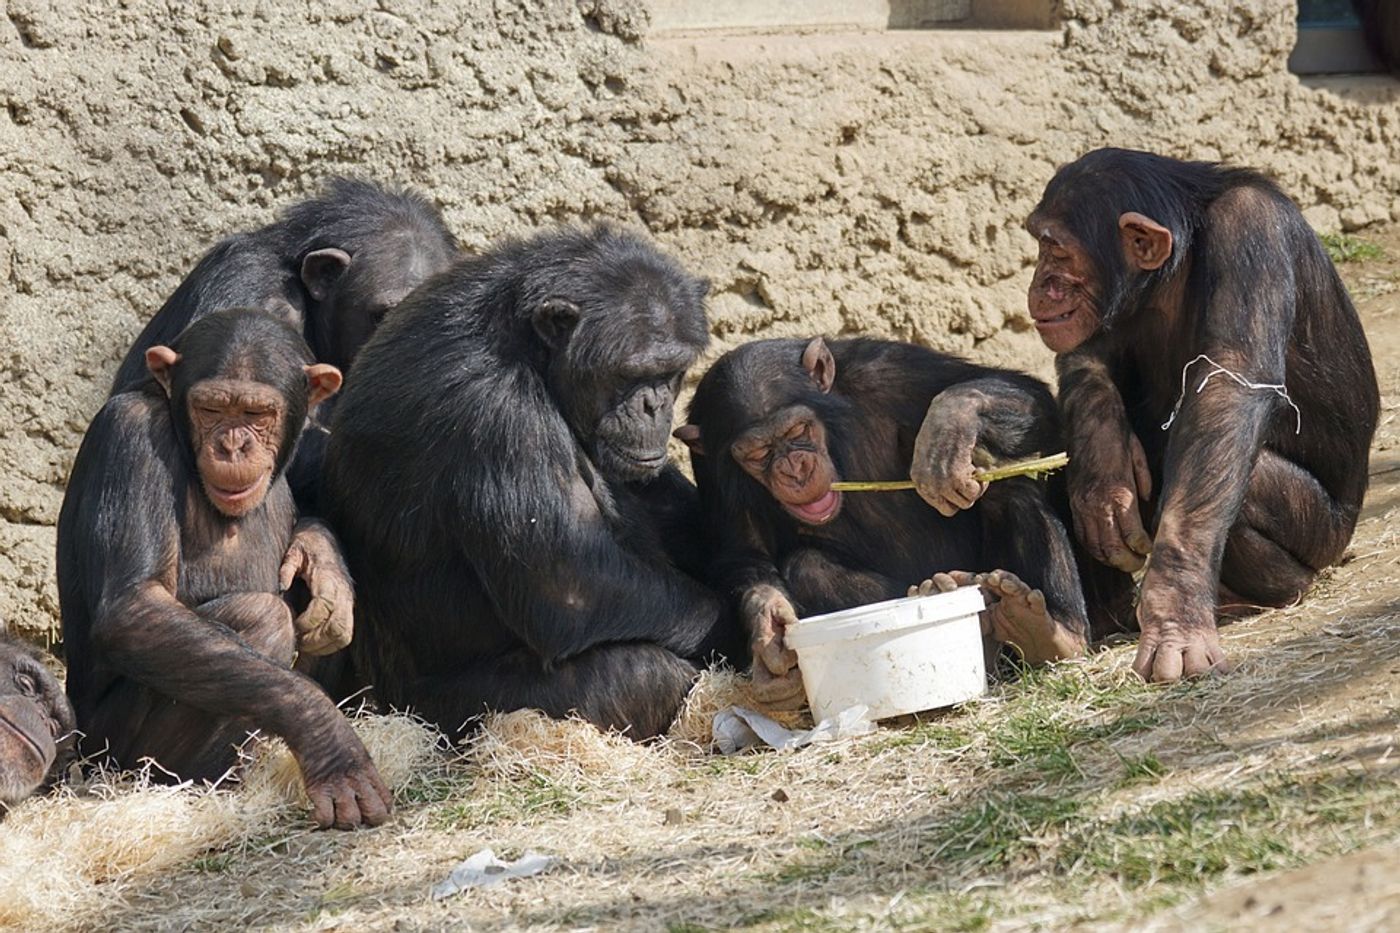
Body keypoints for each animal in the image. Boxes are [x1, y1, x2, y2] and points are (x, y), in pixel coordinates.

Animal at [57, 306, 392, 829]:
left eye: (256, 413)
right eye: (211, 409)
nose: (232, 446)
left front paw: (324, 562)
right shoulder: (130, 435)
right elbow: (135, 608)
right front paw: (328, 739)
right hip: (111, 750)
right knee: (262, 617)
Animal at [323, 225, 744, 739]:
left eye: (671, 372)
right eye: (630, 373)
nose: (655, 404)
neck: (530, 351)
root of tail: (373, 700)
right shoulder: (498, 415)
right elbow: (571, 583)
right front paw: (736, 626)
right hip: (442, 712)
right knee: (643, 674)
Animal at [677, 336, 1092, 706]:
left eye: (797, 430)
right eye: (758, 453)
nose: (793, 468)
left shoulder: (888, 370)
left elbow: (1029, 395)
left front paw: (950, 425)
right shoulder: (710, 464)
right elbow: (743, 551)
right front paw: (769, 629)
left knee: (1010, 489)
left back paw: (1051, 630)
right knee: (808, 566)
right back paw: (946, 595)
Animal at [1024, 147, 1383, 683]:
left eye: (1056, 250)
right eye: (1041, 245)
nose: (1041, 283)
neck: (1176, 266)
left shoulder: (1252, 231)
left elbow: (1229, 387)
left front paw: (1175, 615)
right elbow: (1089, 351)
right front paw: (1103, 470)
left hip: (1327, 535)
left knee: (1242, 484)